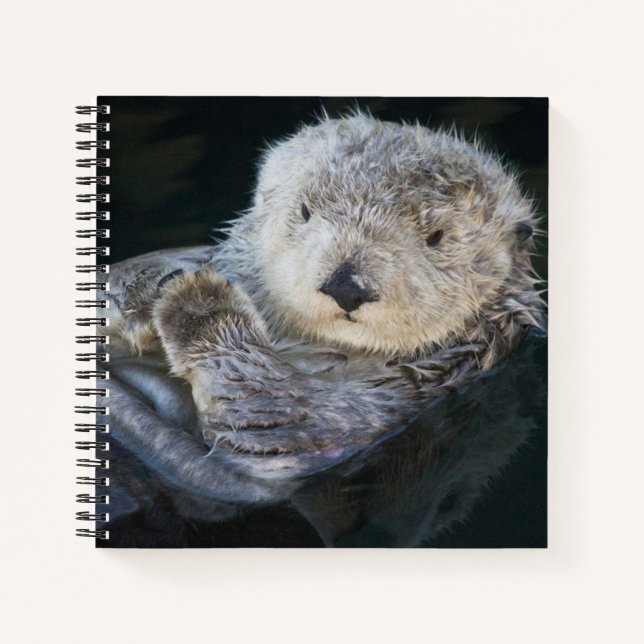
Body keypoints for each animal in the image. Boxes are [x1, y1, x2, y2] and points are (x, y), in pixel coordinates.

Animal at [103, 112, 545, 480]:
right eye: (304, 211)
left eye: (436, 237)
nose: (346, 285)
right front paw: (146, 289)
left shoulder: (373, 409)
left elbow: (274, 415)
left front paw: (199, 303)